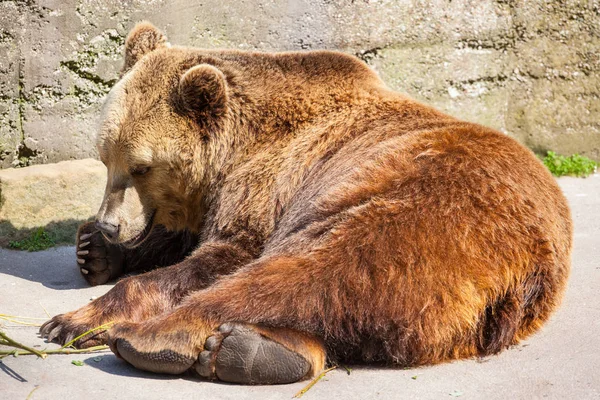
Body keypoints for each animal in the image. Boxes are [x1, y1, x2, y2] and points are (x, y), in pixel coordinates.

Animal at [38, 21, 572, 384]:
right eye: (106, 157)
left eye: (142, 167)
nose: (110, 225)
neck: (234, 149)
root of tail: (532, 262)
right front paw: (94, 251)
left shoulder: (269, 184)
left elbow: (220, 256)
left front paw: (72, 319)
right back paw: (250, 351)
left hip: (416, 209)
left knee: (311, 273)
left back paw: (149, 338)